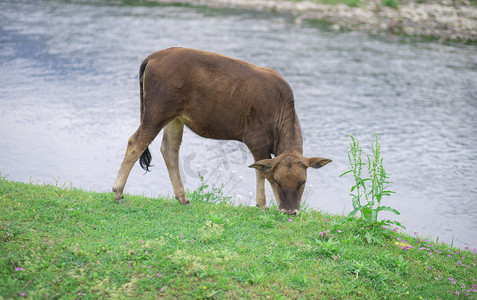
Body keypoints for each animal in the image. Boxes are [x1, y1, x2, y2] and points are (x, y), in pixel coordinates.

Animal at [112, 48, 330, 214]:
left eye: (302, 182)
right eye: (278, 181)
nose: (290, 211)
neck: (278, 105)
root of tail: (155, 56)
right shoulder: (256, 139)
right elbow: (262, 172)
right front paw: (262, 205)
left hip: (174, 118)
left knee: (169, 150)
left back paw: (183, 197)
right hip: (157, 112)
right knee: (136, 142)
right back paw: (119, 192)